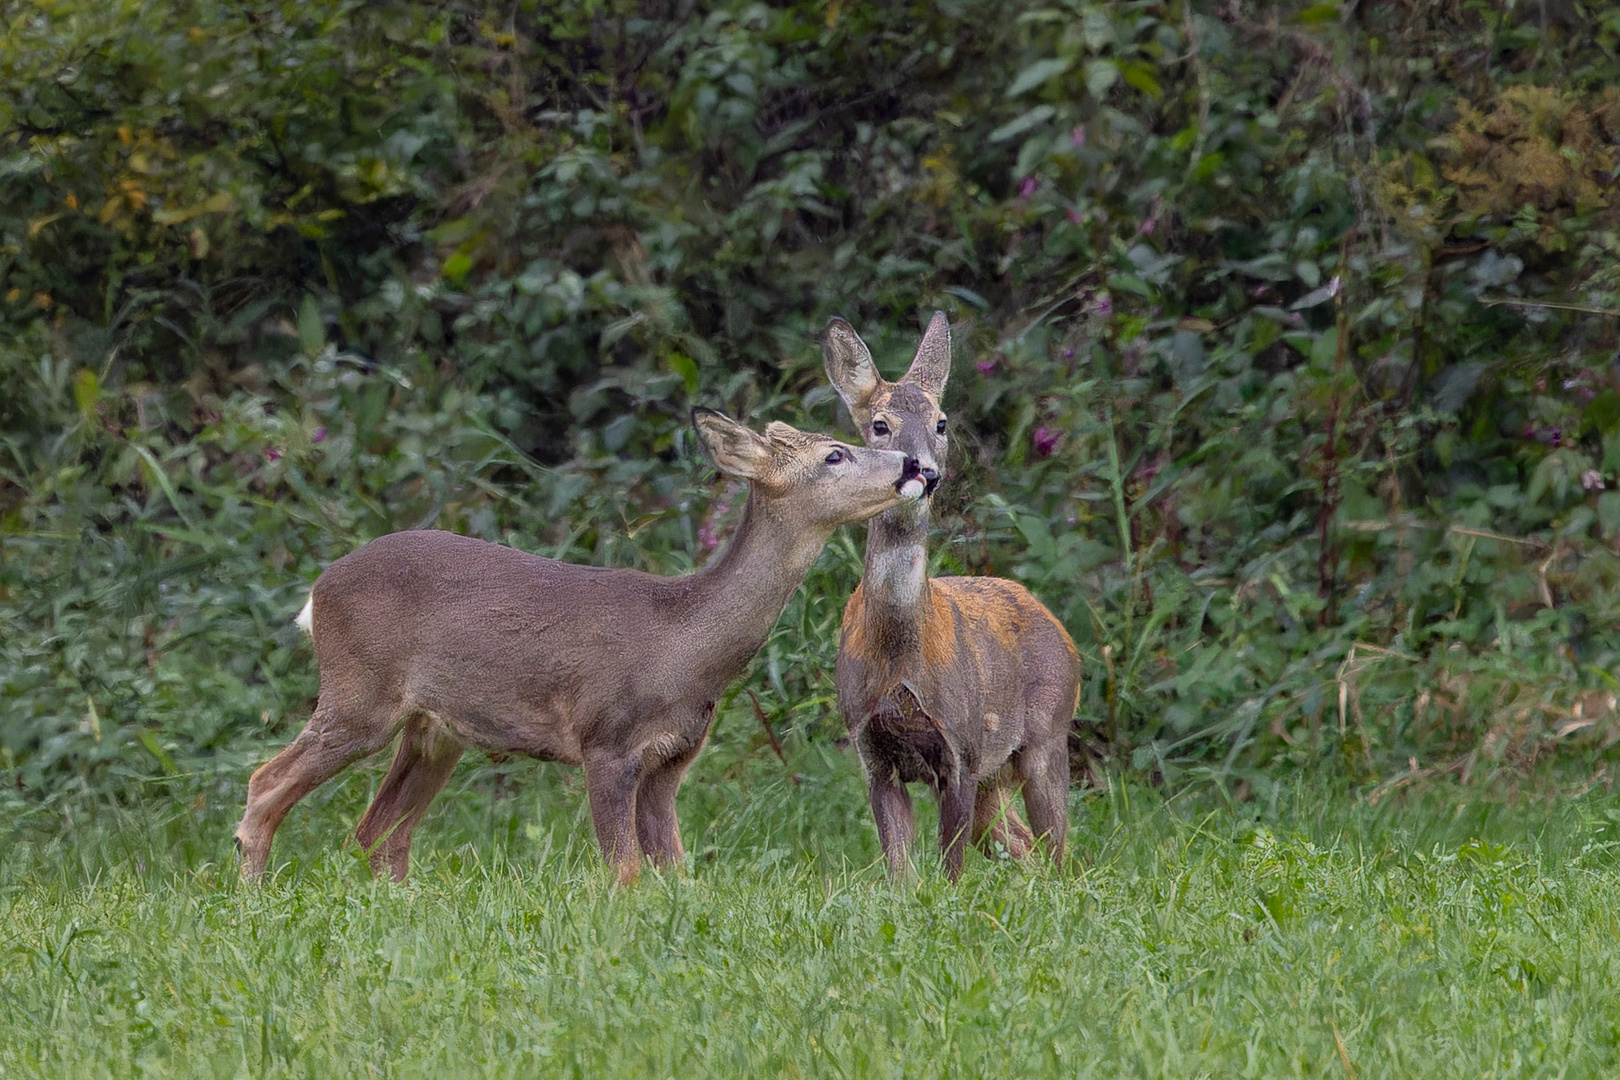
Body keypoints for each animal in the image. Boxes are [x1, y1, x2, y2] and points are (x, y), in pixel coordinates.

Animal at [234, 409, 933, 893]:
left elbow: (677, 872)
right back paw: (253, 898)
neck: (684, 645)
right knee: (267, 782)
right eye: (835, 454)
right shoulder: (605, 741)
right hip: (361, 693)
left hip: (434, 729)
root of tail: (317, 592)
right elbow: (623, 872)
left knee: (378, 833)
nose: (913, 465)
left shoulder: (671, 759)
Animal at [829, 310, 1082, 880]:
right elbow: (900, 872)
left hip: (1045, 736)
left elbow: (950, 869)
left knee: (1061, 854)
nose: (925, 470)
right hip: (999, 775)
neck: (900, 657)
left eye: (941, 423)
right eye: (880, 425)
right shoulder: (871, 751)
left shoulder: (962, 746)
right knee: (1025, 848)